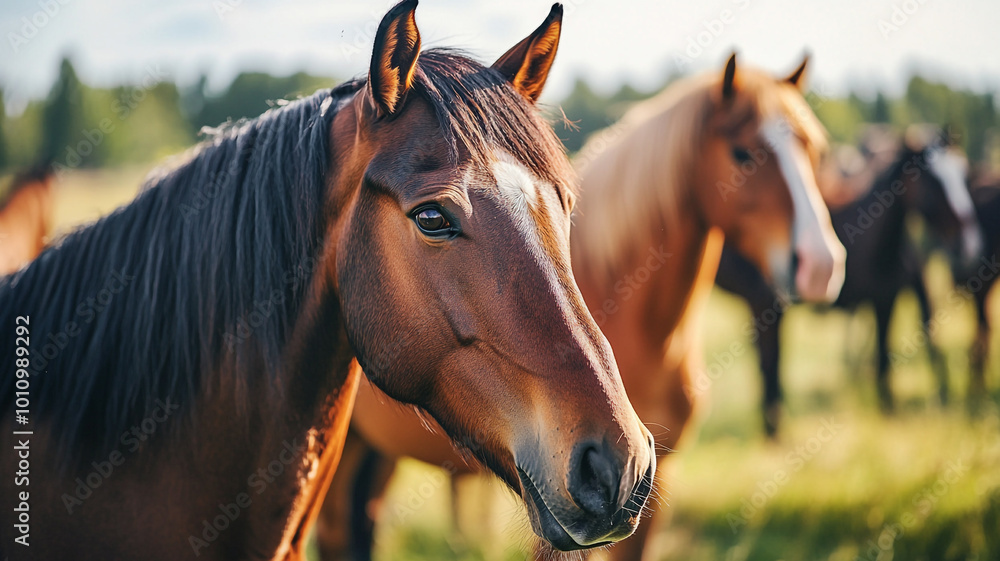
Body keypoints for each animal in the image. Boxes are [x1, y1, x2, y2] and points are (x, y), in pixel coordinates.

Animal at [715, 125, 983, 435]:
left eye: (963, 174)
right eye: (933, 180)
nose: (969, 242)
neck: (874, 239)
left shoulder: (884, 301)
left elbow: (883, 357)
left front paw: (889, 411)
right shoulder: (767, 304)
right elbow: (773, 364)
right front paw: (773, 431)